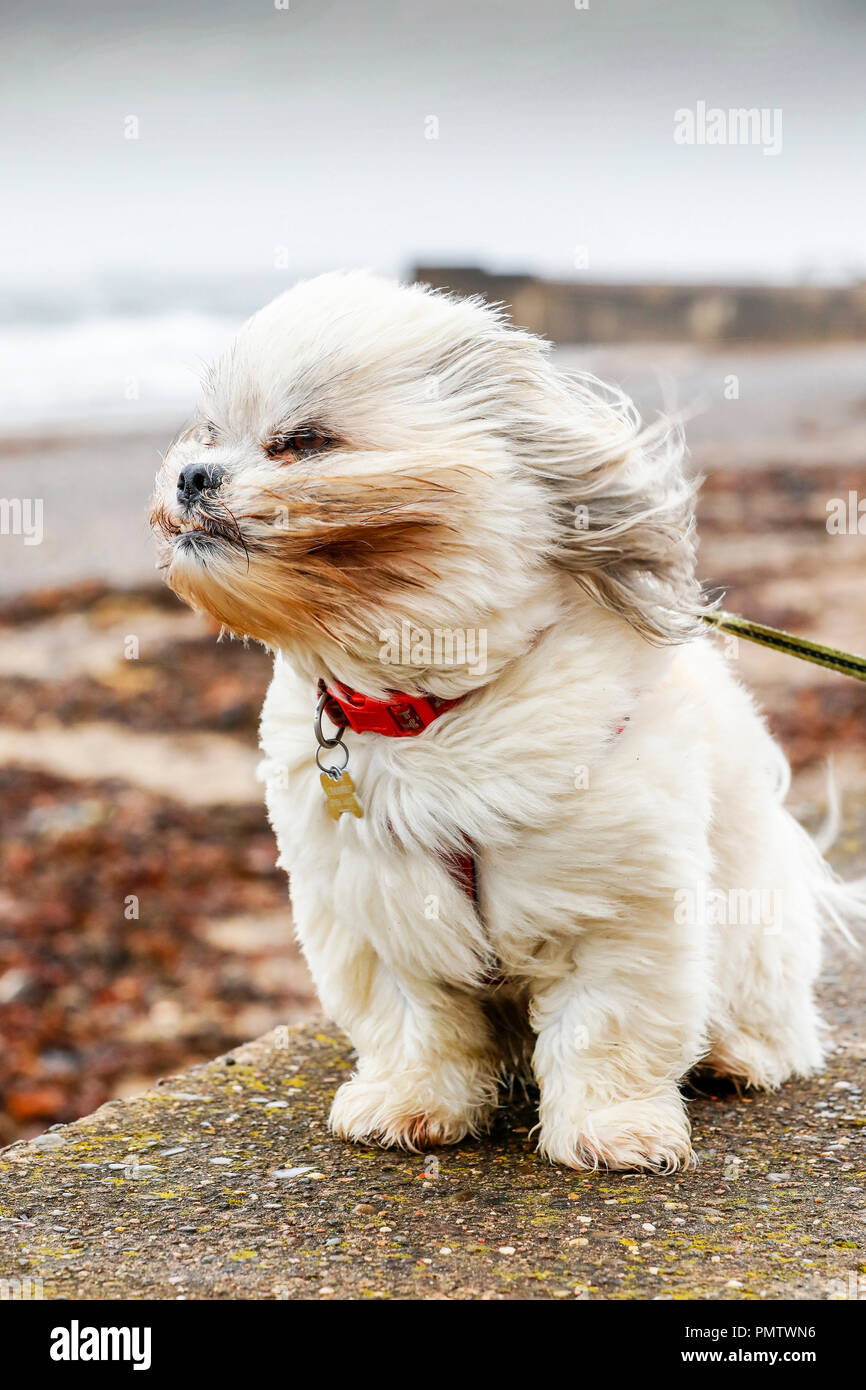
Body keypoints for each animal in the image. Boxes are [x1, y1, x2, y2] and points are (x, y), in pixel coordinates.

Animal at [152, 265, 861, 1167]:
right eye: (208, 433)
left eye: (304, 441)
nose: (192, 475)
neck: (424, 709)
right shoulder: (374, 909)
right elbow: (412, 1022)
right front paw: (409, 1103)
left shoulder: (620, 906)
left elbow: (608, 1026)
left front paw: (611, 1129)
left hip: (755, 928)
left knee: (766, 1011)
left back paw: (739, 1055)